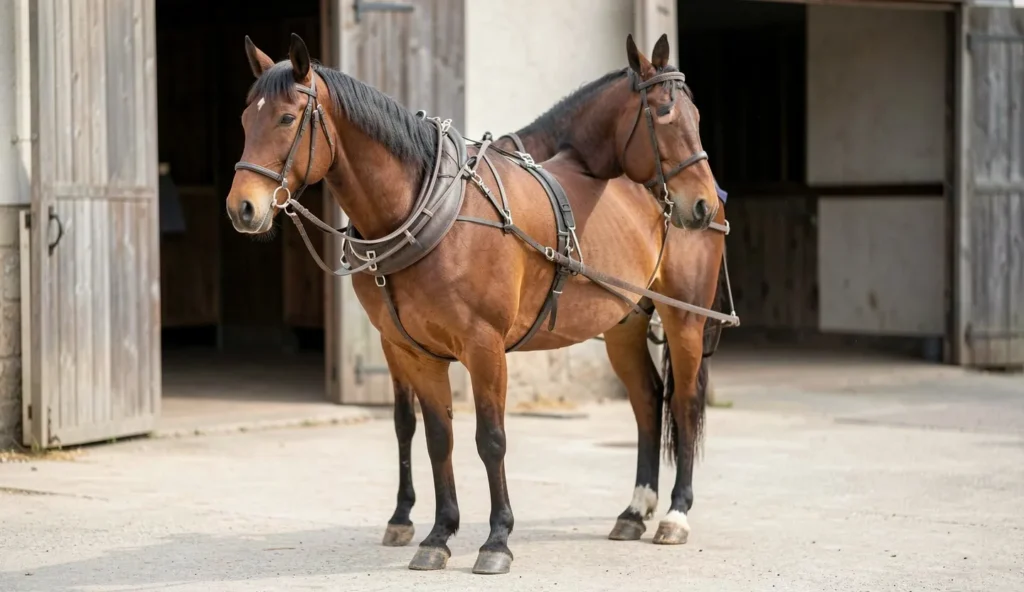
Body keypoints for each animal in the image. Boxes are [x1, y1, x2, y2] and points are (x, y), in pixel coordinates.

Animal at [227, 32, 734, 575]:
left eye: (286, 119)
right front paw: (437, 533)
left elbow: (490, 440)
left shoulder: (484, 348)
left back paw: (676, 515)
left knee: (683, 403)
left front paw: (496, 540)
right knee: (646, 400)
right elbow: (434, 437)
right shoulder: (412, 351)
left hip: (684, 318)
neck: (425, 211)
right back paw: (635, 510)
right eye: (247, 120)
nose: (243, 208)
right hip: (624, 322)